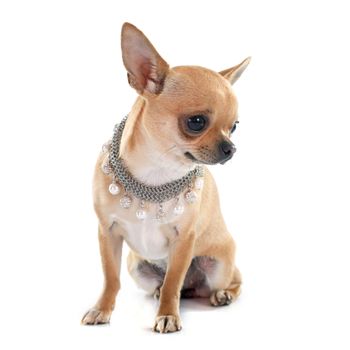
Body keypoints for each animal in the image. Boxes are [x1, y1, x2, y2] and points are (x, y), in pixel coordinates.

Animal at [82, 22, 250, 334]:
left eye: (234, 127)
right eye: (196, 122)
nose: (231, 148)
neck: (157, 170)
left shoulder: (184, 239)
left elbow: (174, 281)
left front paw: (168, 315)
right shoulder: (107, 232)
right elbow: (111, 278)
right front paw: (102, 309)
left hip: (219, 266)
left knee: (230, 281)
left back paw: (223, 294)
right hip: (138, 268)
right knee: (176, 286)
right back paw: (162, 293)